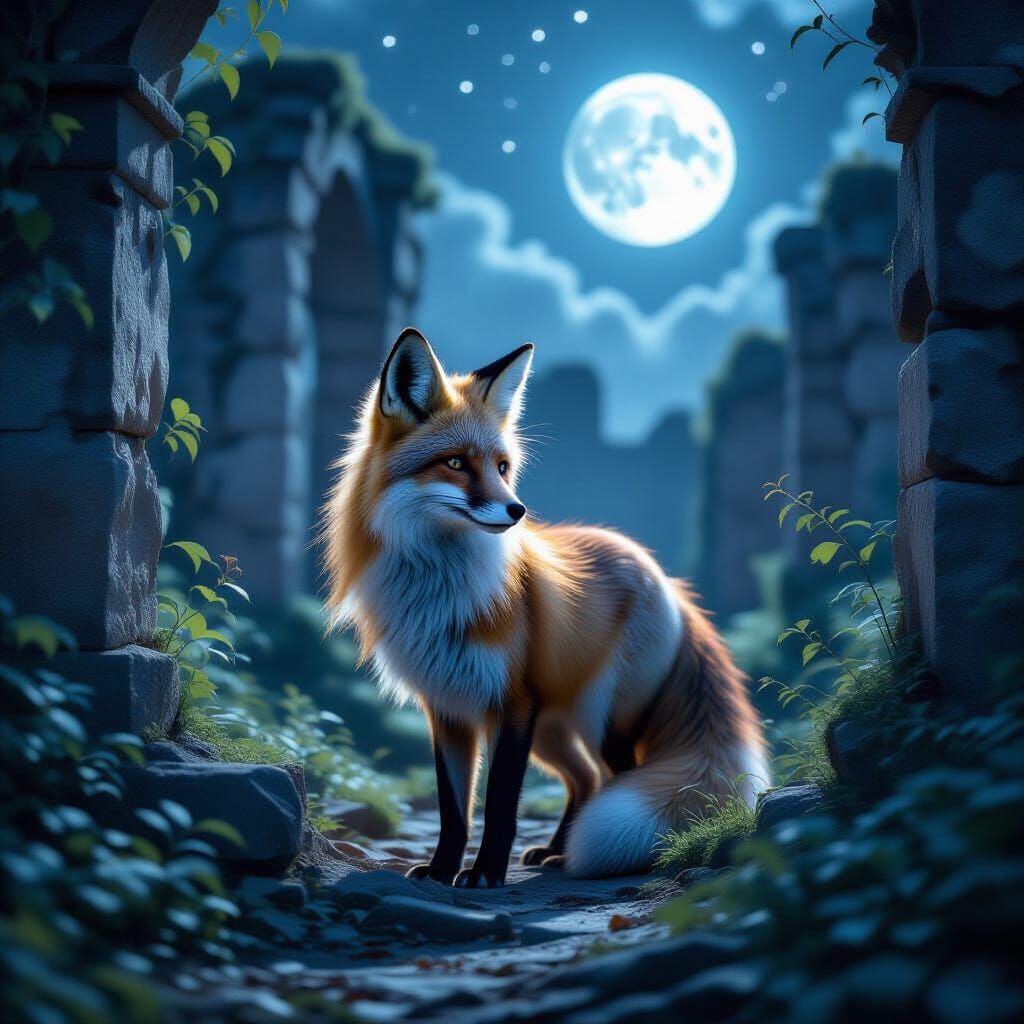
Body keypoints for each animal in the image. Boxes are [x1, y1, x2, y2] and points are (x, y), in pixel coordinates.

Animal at [323, 327, 769, 888]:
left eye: (502, 467)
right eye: (455, 462)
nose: (517, 511)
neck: (438, 591)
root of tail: (665, 579)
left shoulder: (512, 704)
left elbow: (499, 805)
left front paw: (486, 874)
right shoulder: (447, 707)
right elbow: (453, 809)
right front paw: (443, 868)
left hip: (601, 720)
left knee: (614, 775)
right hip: (555, 730)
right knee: (585, 780)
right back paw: (556, 852)